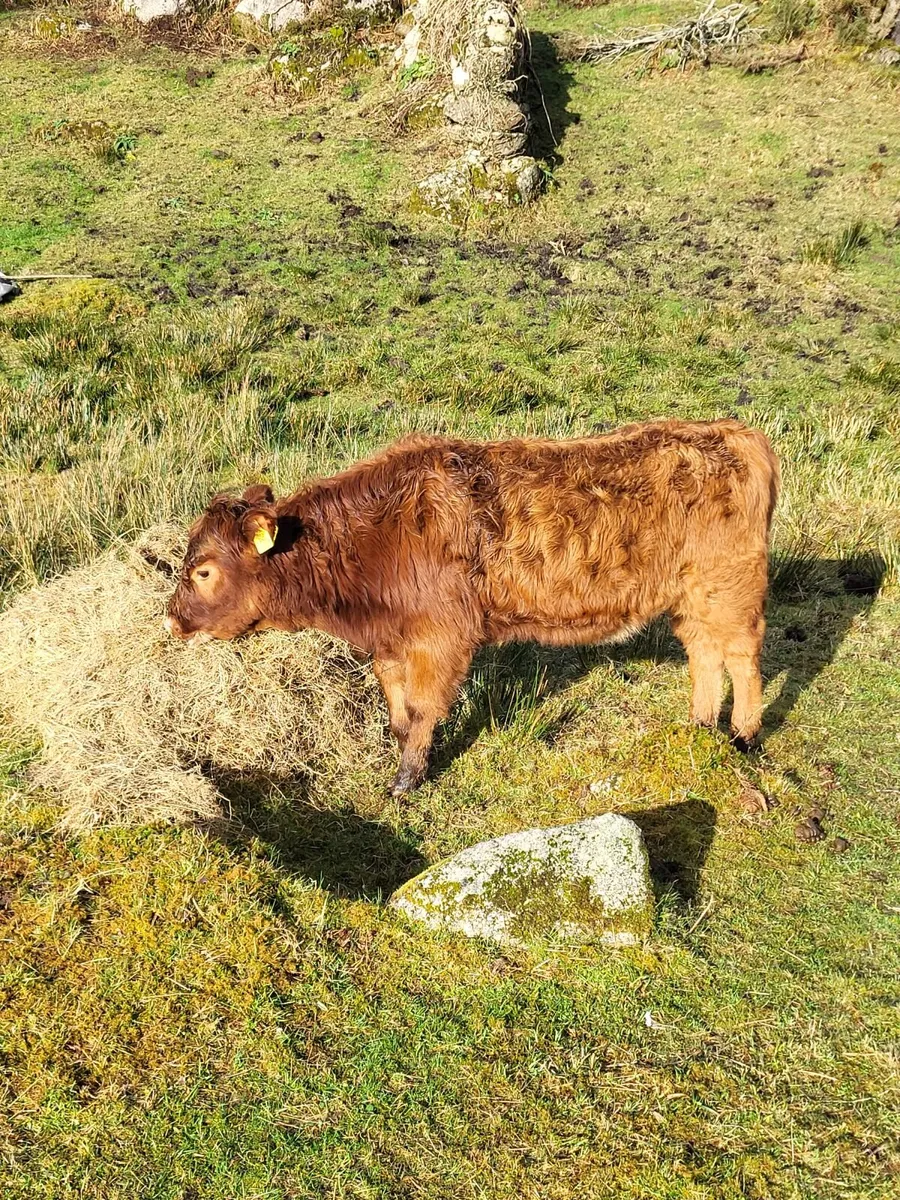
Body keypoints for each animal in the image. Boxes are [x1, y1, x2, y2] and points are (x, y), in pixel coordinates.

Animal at [166, 420, 780, 796]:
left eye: (203, 571)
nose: (172, 620)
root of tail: (736, 433)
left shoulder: (441, 640)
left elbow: (421, 711)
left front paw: (407, 781)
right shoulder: (393, 645)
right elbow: (397, 712)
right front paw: (402, 758)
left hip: (729, 587)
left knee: (743, 657)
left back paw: (743, 735)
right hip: (692, 598)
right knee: (705, 655)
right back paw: (698, 727)